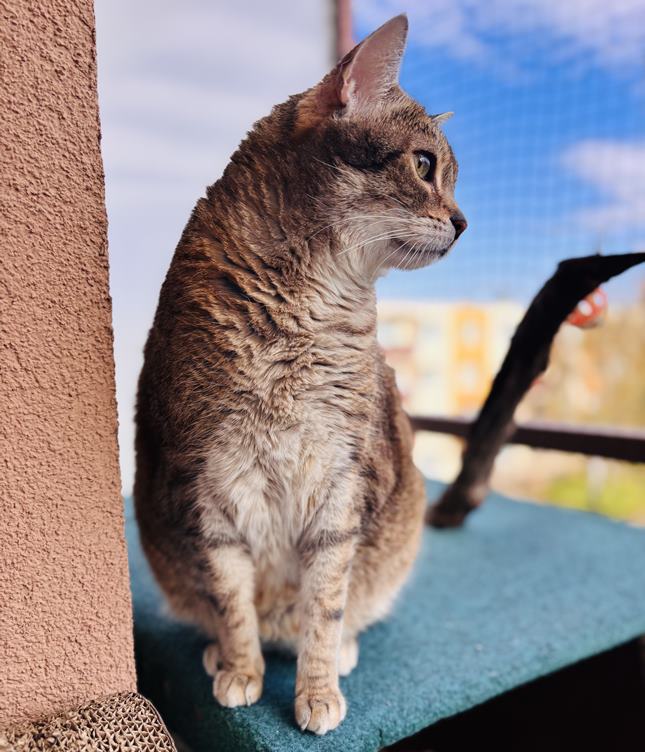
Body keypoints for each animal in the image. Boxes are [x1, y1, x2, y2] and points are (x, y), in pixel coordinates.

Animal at [134, 14, 465, 735]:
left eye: (451, 178)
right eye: (425, 165)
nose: (462, 221)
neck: (305, 310)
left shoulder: (341, 480)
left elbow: (324, 604)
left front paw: (316, 687)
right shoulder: (209, 479)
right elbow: (231, 600)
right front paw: (240, 669)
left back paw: (338, 651)